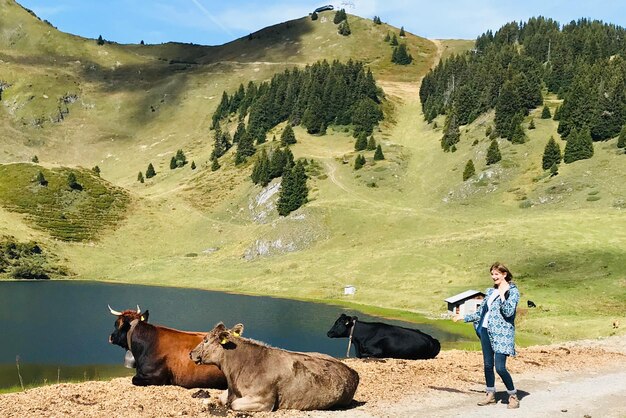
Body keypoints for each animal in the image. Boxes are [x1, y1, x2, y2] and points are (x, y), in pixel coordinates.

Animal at [188, 324, 358, 412]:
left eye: (206, 339)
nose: (191, 353)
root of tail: (352, 371)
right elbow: (221, 398)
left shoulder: (264, 400)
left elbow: (234, 404)